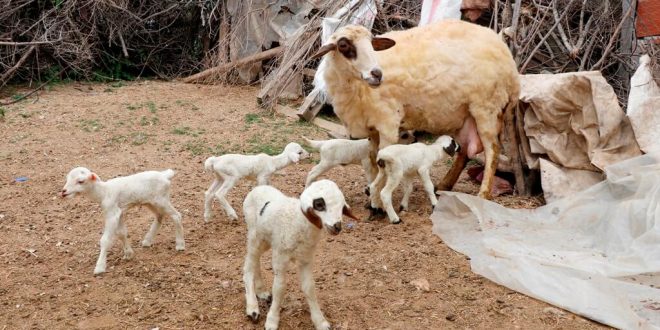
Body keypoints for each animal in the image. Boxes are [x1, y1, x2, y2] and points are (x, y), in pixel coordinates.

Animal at [241, 180, 356, 330]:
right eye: (319, 205)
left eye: (342, 207)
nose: (337, 227)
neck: (298, 222)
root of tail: (258, 188)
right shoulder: (280, 258)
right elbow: (279, 288)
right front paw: (272, 320)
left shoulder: (306, 259)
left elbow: (309, 288)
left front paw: (320, 321)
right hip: (254, 235)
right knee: (248, 265)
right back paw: (253, 308)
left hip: (266, 239)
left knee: (256, 261)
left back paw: (261, 292)